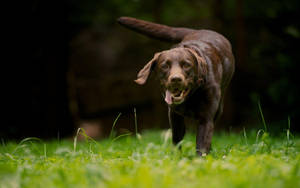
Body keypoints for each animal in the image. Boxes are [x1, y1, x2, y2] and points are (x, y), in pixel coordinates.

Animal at [117, 16, 234, 156]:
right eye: (165, 66)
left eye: (187, 65)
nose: (176, 79)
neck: (190, 97)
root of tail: (197, 30)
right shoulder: (174, 115)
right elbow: (177, 140)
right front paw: (176, 157)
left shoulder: (206, 118)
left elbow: (202, 144)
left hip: (219, 107)